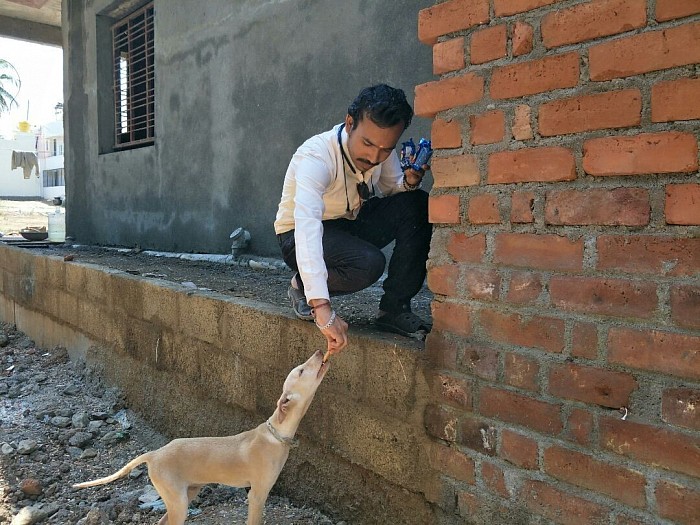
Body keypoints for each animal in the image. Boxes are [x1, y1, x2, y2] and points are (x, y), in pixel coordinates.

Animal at [73, 350, 330, 525]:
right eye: (301, 370)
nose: (320, 351)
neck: (275, 434)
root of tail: (155, 454)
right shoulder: (257, 495)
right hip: (178, 501)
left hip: (188, 492)